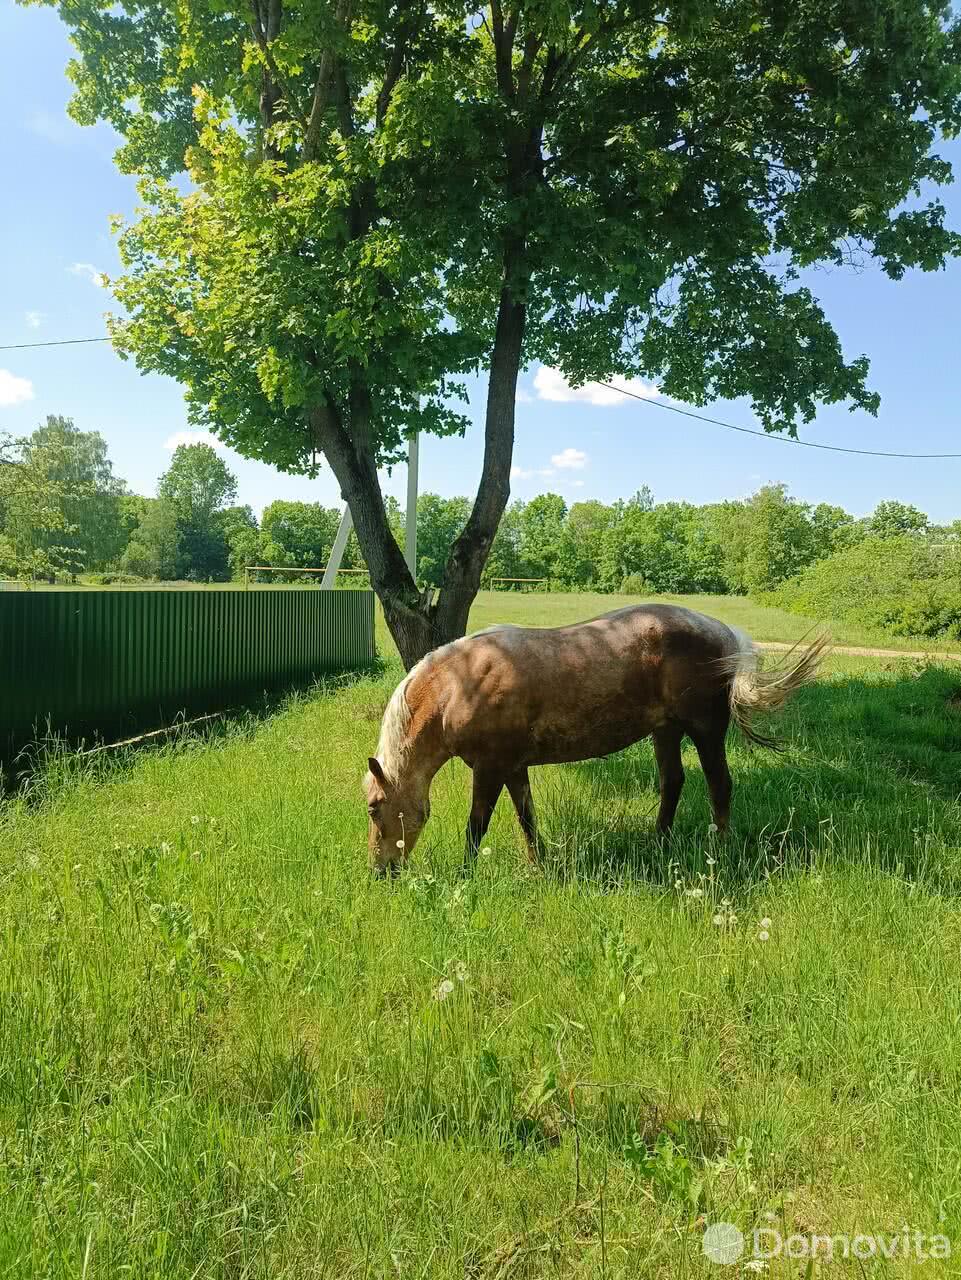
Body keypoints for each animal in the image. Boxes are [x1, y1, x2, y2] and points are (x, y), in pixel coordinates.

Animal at [360, 604, 829, 875]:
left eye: (373, 807)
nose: (380, 873)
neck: (460, 685)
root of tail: (726, 633)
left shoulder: (490, 769)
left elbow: (476, 826)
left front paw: (465, 877)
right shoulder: (513, 767)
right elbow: (527, 819)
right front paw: (538, 868)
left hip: (706, 731)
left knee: (719, 785)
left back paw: (721, 848)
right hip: (665, 730)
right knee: (673, 782)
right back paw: (658, 842)